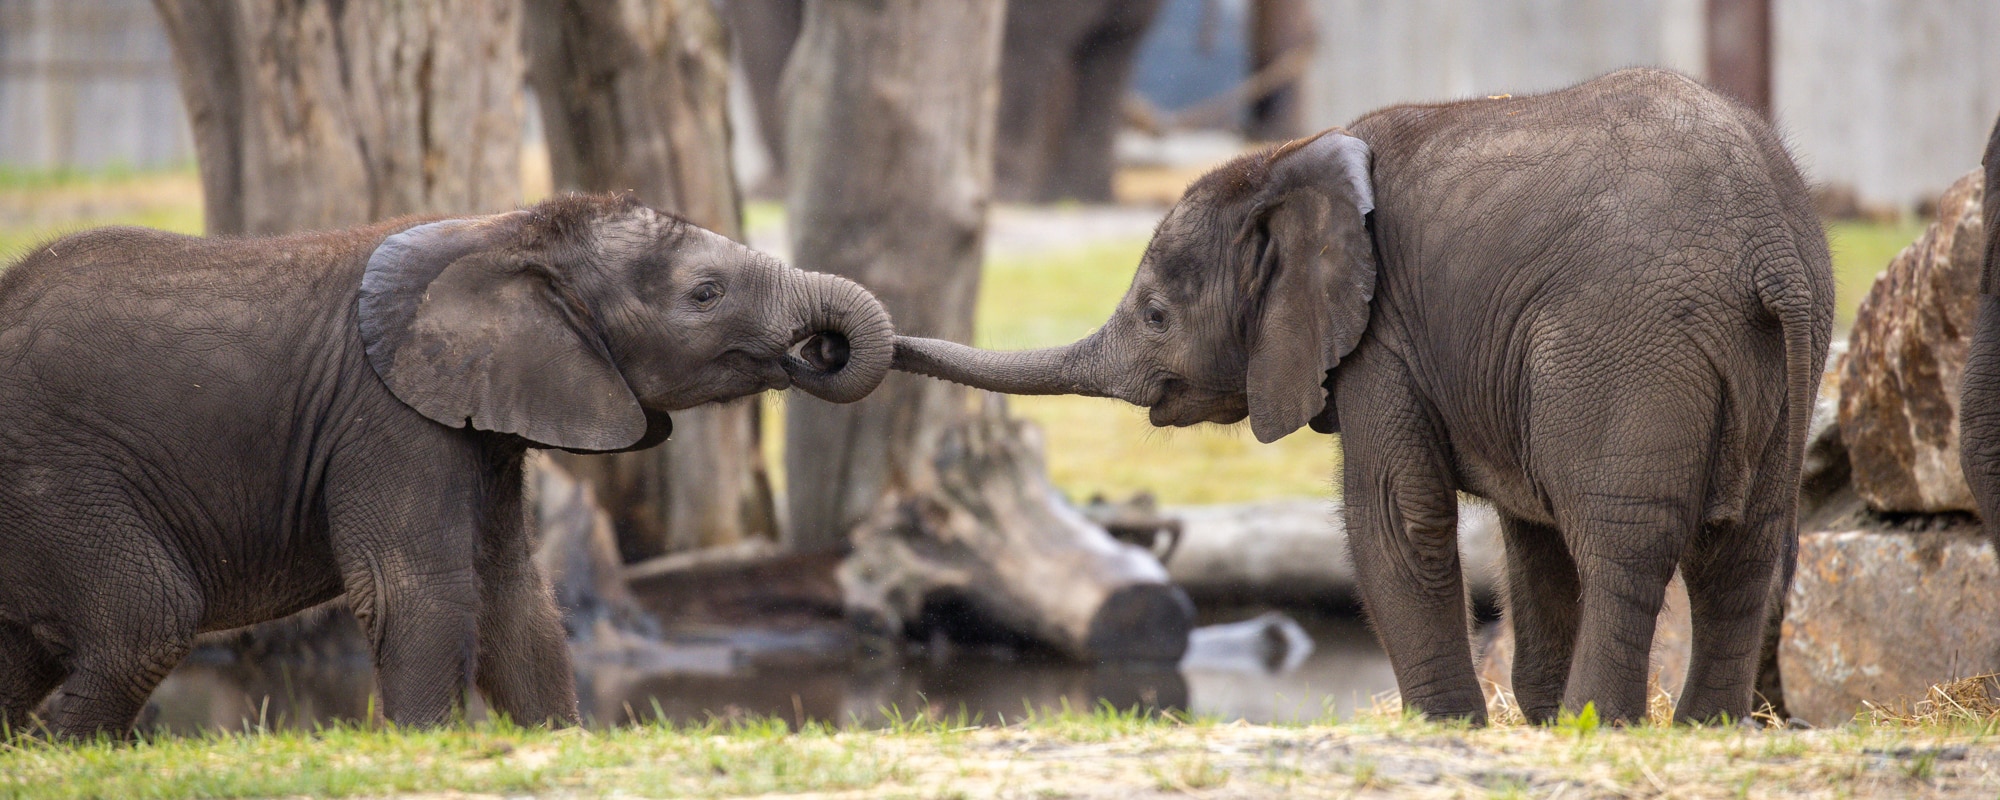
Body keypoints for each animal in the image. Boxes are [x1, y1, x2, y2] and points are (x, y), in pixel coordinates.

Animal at [0, 194, 892, 736]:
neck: (508, 230)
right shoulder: (386, 417)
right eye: (705, 295)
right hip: (53, 477)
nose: (821, 348)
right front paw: (427, 746)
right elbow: (419, 589)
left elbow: (510, 597)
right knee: (147, 620)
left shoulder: (480, 423)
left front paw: (558, 741)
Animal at [900, 70, 1832, 724]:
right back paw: (1699, 729)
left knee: (1623, 543)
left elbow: (1396, 514)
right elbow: (1529, 537)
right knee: (1742, 548)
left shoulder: (1383, 337)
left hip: (1624, 342)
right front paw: (1525, 721)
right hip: (1773, 353)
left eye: (1157, 314)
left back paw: (1601, 727)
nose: (863, 347)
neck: (1288, 158)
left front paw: (1454, 729)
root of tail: (1766, 250)